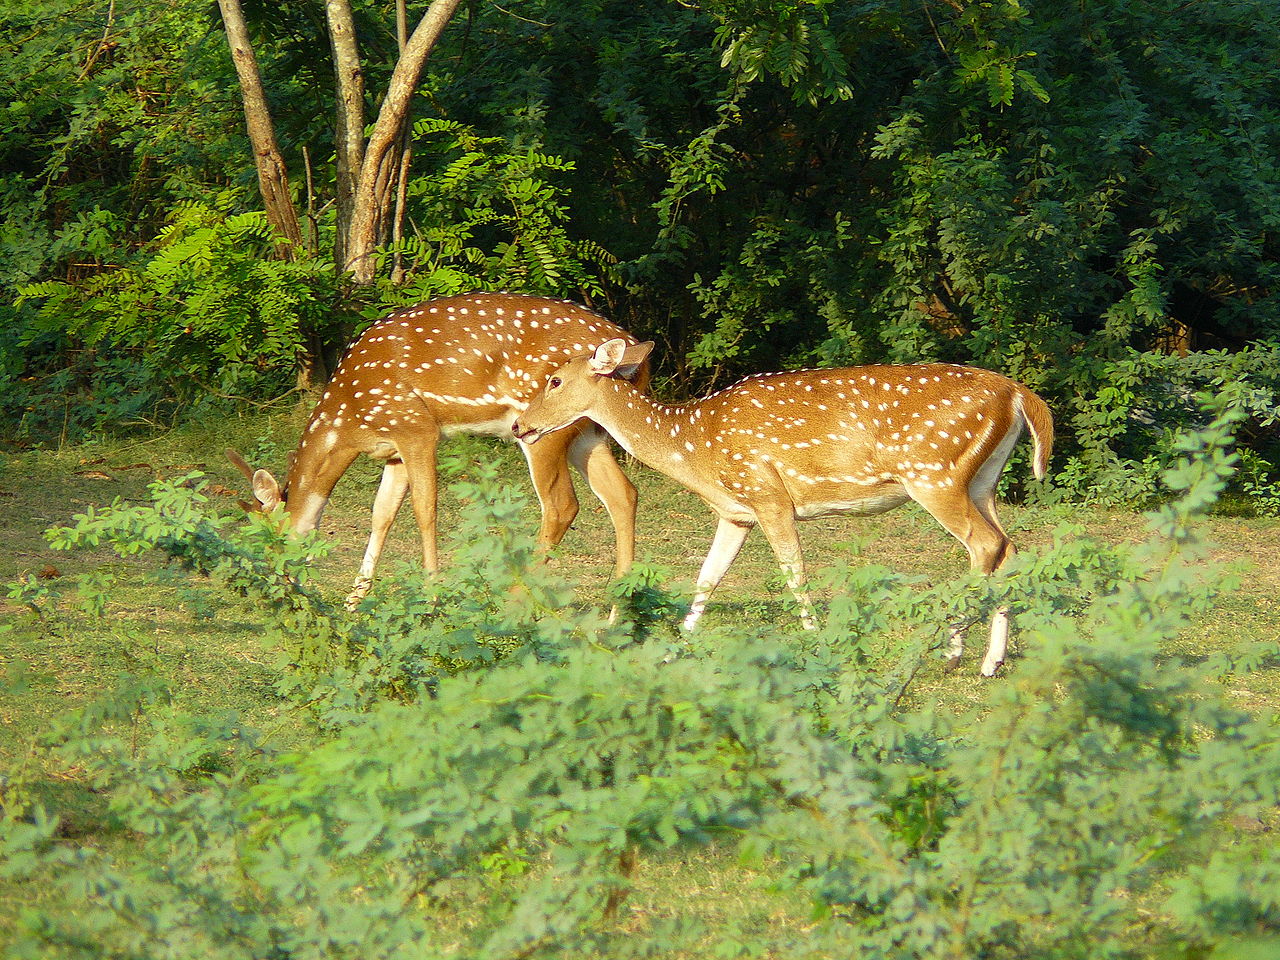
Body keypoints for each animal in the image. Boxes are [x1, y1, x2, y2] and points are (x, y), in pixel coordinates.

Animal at [226, 293, 650, 609]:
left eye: (267, 540)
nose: (272, 593)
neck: (350, 419)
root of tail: (635, 358)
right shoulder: (393, 449)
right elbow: (381, 514)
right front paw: (354, 599)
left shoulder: (415, 426)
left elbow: (424, 510)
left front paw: (432, 595)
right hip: (587, 434)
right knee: (623, 494)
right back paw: (619, 609)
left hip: (543, 428)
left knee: (562, 505)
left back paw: (512, 601)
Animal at [514, 337, 1054, 675]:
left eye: (555, 380)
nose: (520, 425)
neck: (693, 446)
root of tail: (1018, 393)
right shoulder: (736, 511)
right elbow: (707, 576)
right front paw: (676, 648)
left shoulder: (768, 493)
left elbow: (793, 572)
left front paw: (815, 640)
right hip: (981, 480)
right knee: (1009, 546)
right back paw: (991, 661)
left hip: (933, 473)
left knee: (984, 545)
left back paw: (952, 651)